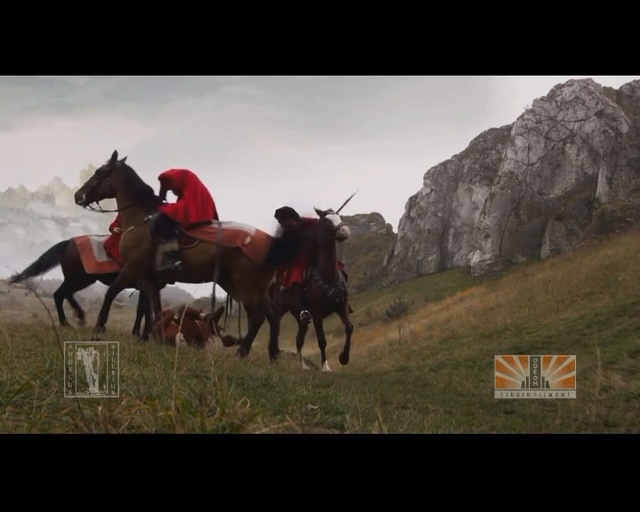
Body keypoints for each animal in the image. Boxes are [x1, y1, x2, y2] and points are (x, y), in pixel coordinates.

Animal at [8, 237, 153, 338]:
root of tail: (68, 242)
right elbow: (144, 310)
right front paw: (142, 333)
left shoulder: (143, 287)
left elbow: (142, 309)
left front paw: (138, 333)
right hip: (81, 279)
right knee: (60, 294)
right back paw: (70, 321)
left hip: (77, 280)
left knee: (62, 294)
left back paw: (75, 319)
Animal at [73, 150, 316, 361]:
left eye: (102, 172)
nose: (78, 196)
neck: (141, 218)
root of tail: (272, 243)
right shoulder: (150, 279)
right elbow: (156, 310)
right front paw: (158, 337)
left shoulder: (132, 270)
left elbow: (111, 293)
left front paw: (98, 329)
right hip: (254, 289)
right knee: (272, 316)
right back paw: (271, 355)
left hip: (245, 289)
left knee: (257, 318)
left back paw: (243, 353)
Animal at [270, 208, 354, 371]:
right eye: (327, 221)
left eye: (339, 216)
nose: (345, 231)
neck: (328, 276)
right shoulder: (316, 314)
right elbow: (322, 340)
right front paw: (325, 366)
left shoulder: (341, 307)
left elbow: (349, 328)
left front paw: (344, 358)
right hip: (280, 309)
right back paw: (274, 358)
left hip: (301, 319)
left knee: (299, 339)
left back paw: (303, 366)